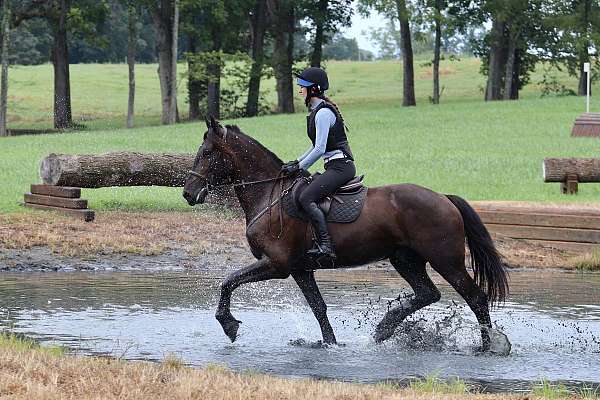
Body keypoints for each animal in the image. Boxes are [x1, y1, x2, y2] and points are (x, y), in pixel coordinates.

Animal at [182, 117, 506, 352]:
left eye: (207, 153)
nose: (188, 193)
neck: (269, 193)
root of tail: (443, 197)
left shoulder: (277, 265)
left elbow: (228, 282)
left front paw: (229, 324)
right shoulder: (300, 269)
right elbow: (319, 307)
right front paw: (330, 343)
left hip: (445, 260)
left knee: (476, 297)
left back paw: (488, 346)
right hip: (405, 259)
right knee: (428, 293)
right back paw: (385, 328)